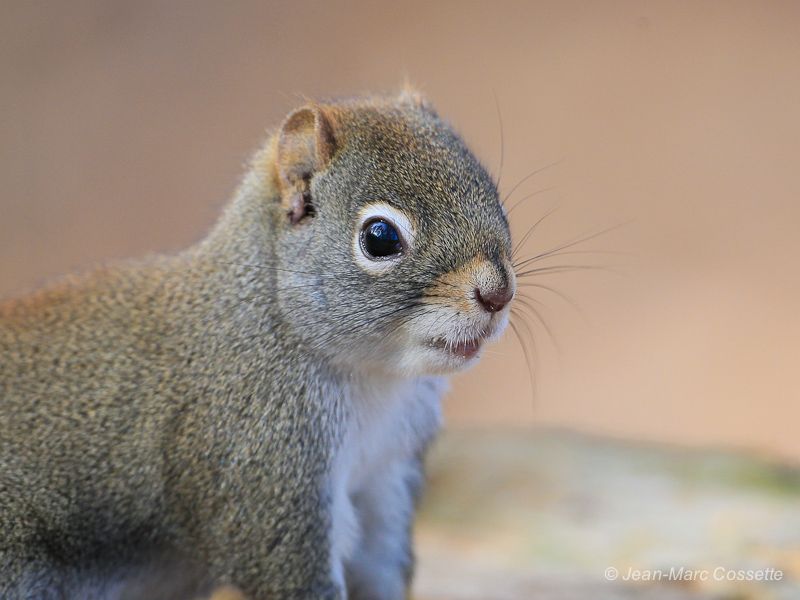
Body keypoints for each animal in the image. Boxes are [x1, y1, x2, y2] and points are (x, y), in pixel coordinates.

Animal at [0, 90, 520, 600]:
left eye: (494, 200)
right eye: (380, 237)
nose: (497, 294)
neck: (372, 376)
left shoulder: (386, 474)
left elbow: (379, 568)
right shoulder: (264, 469)